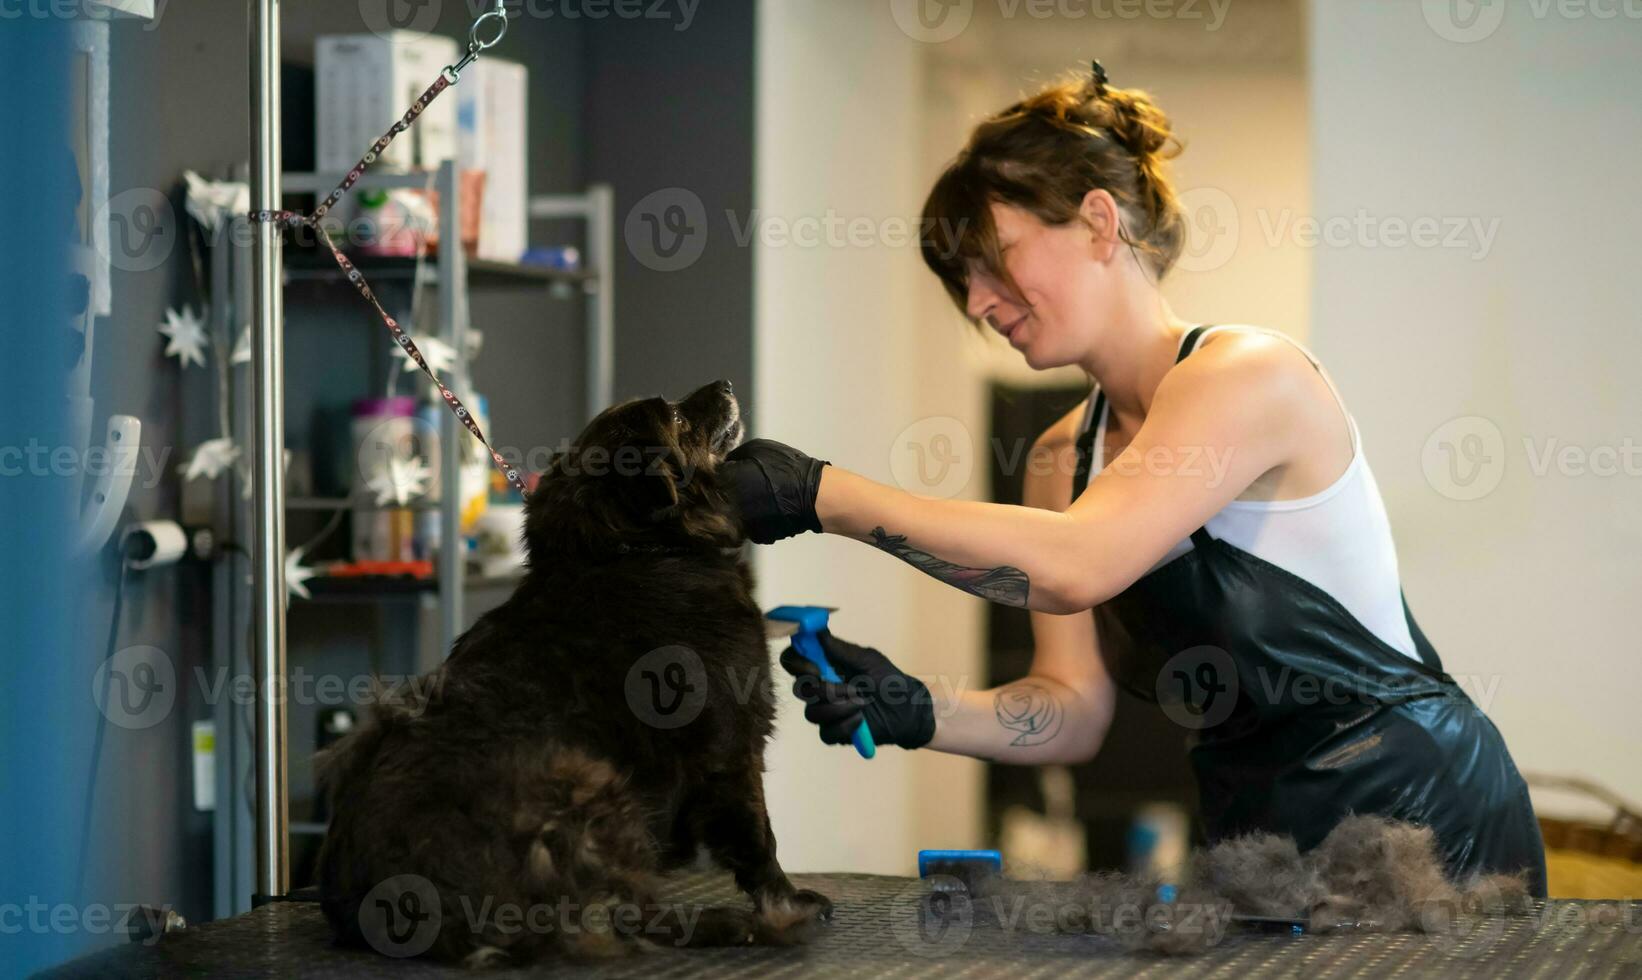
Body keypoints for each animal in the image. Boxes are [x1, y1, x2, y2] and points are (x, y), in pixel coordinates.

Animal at [313, 380, 834, 965]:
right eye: (678, 418)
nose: (724, 385)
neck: (634, 551)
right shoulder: (732, 749)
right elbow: (759, 840)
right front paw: (786, 901)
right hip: (592, 783)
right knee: (631, 916)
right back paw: (733, 925)